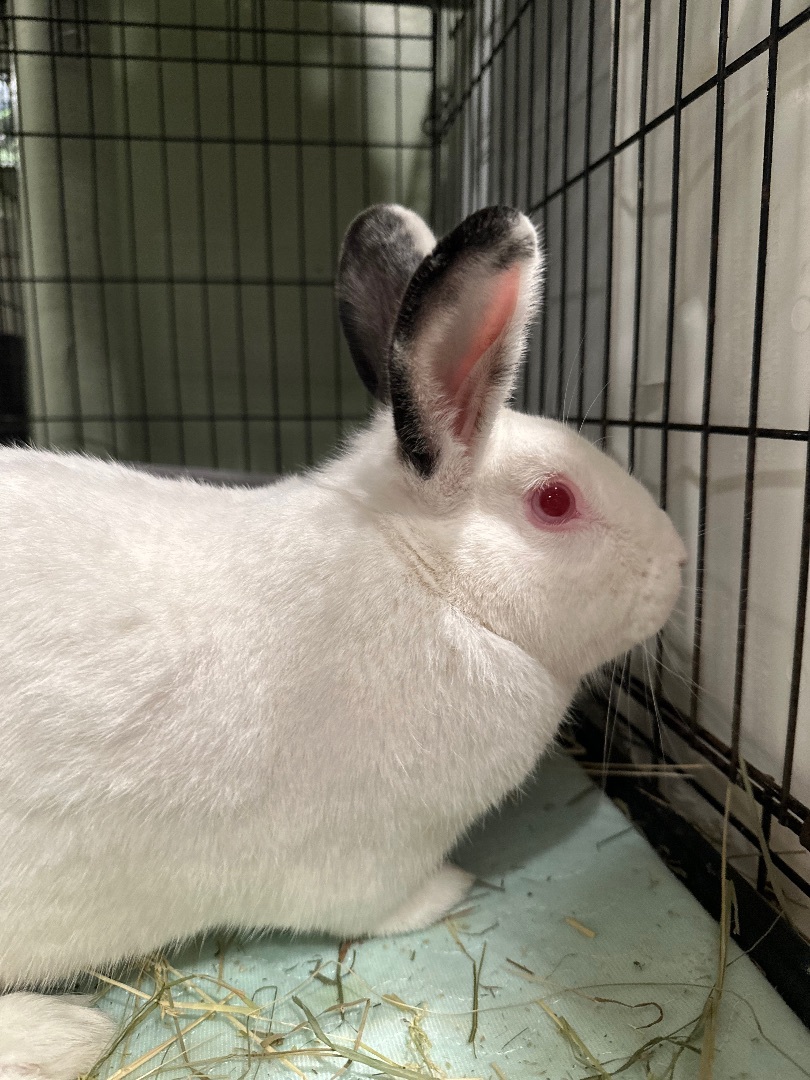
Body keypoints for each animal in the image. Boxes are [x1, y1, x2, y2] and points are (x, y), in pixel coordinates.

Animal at [0, 205, 686, 1079]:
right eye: (555, 501)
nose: (679, 561)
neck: (432, 581)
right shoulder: (371, 860)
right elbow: (388, 905)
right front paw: (454, 889)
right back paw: (67, 1035)